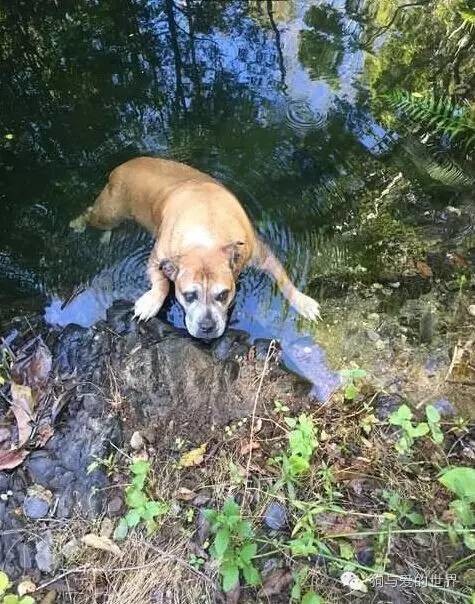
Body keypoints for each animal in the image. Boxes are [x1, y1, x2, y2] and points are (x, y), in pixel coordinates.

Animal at [80, 156, 322, 340]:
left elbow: (283, 279)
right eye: (189, 295)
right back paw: (79, 225)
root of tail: (121, 167)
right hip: (110, 211)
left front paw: (303, 302)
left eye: (223, 294)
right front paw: (150, 302)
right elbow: (161, 283)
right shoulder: (157, 258)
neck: (206, 236)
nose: (207, 327)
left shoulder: (260, 254)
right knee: (91, 213)